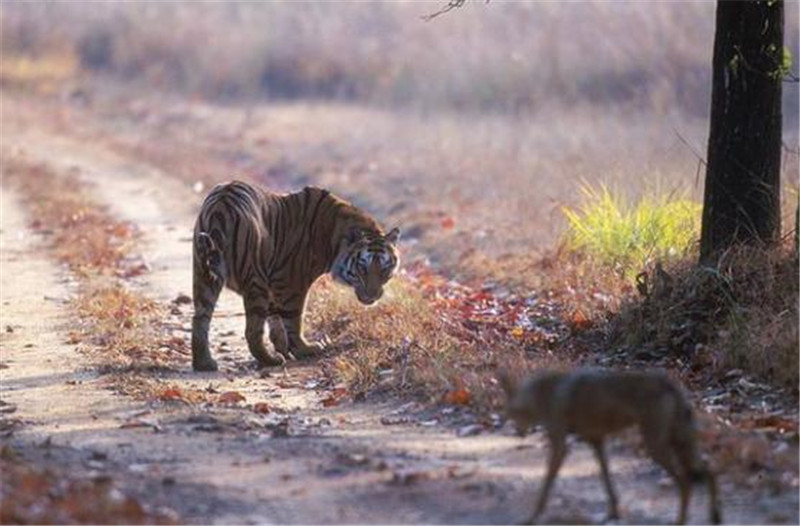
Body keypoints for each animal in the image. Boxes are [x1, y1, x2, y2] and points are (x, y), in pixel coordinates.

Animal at [194, 183, 400, 376]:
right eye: (362, 268)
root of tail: (221, 205)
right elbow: (293, 319)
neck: (333, 238)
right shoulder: (292, 283)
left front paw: (283, 347)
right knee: (252, 331)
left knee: (200, 319)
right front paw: (303, 349)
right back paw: (271, 360)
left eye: (384, 268)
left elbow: (275, 318)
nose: (373, 295)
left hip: (203, 274)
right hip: (255, 279)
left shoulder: (273, 284)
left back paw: (204, 363)